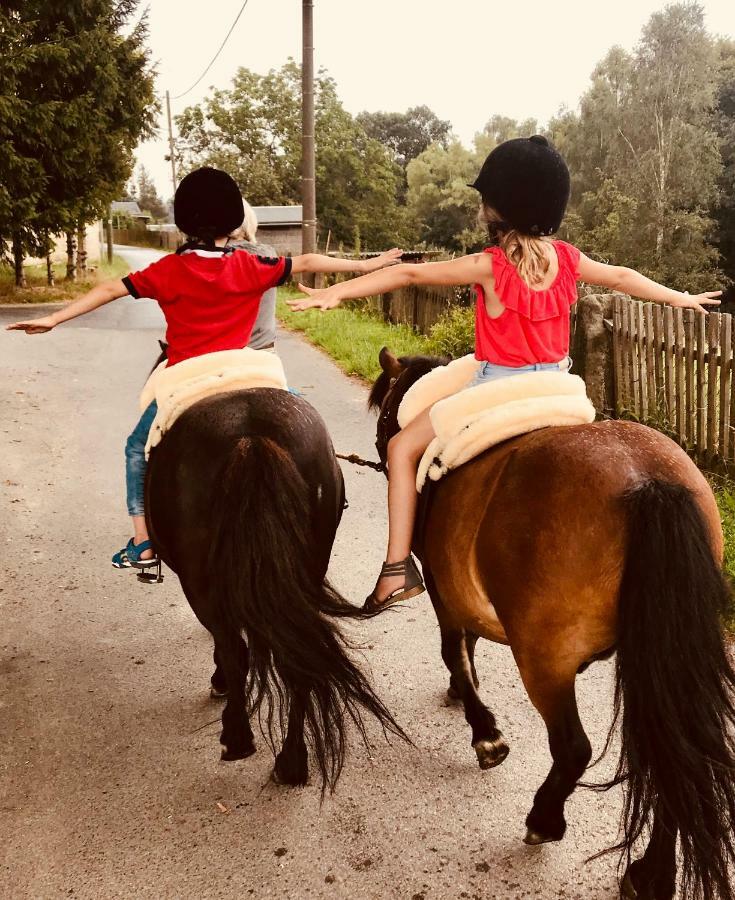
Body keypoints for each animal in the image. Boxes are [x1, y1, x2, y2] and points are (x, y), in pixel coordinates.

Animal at [146, 364, 406, 788]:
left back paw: (237, 738)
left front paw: (220, 684)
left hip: (200, 583)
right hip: (307, 569)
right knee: (298, 655)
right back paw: (293, 761)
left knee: (233, 648)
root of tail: (252, 438)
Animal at [370, 350, 735, 900]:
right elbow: (466, 646)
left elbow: (454, 647)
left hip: (545, 659)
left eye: (385, 414)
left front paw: (484, 733)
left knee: (572, 748)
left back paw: (544, 819)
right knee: (675, 750)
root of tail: (648, 480)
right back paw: (651, 873)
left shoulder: (442, 587)